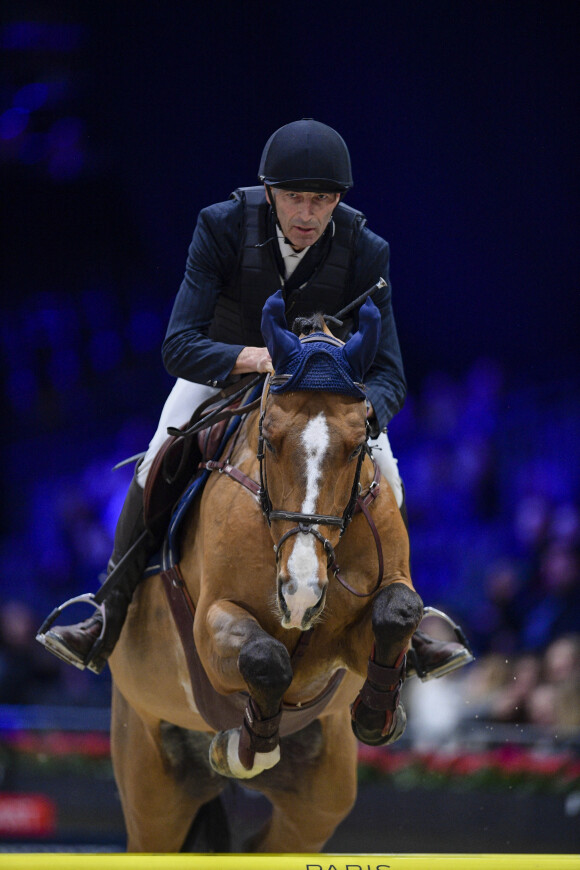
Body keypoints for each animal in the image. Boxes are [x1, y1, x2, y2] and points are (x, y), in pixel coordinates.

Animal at [109, 292, 424, 852]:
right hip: (149, 778)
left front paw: (376, 715)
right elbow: (265, 657)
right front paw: (246, 745)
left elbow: (399, 611)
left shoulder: (345, 641)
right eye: (270, 439)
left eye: (357, 444)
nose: (300, 592)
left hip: (318, 801)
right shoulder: (210, 625)